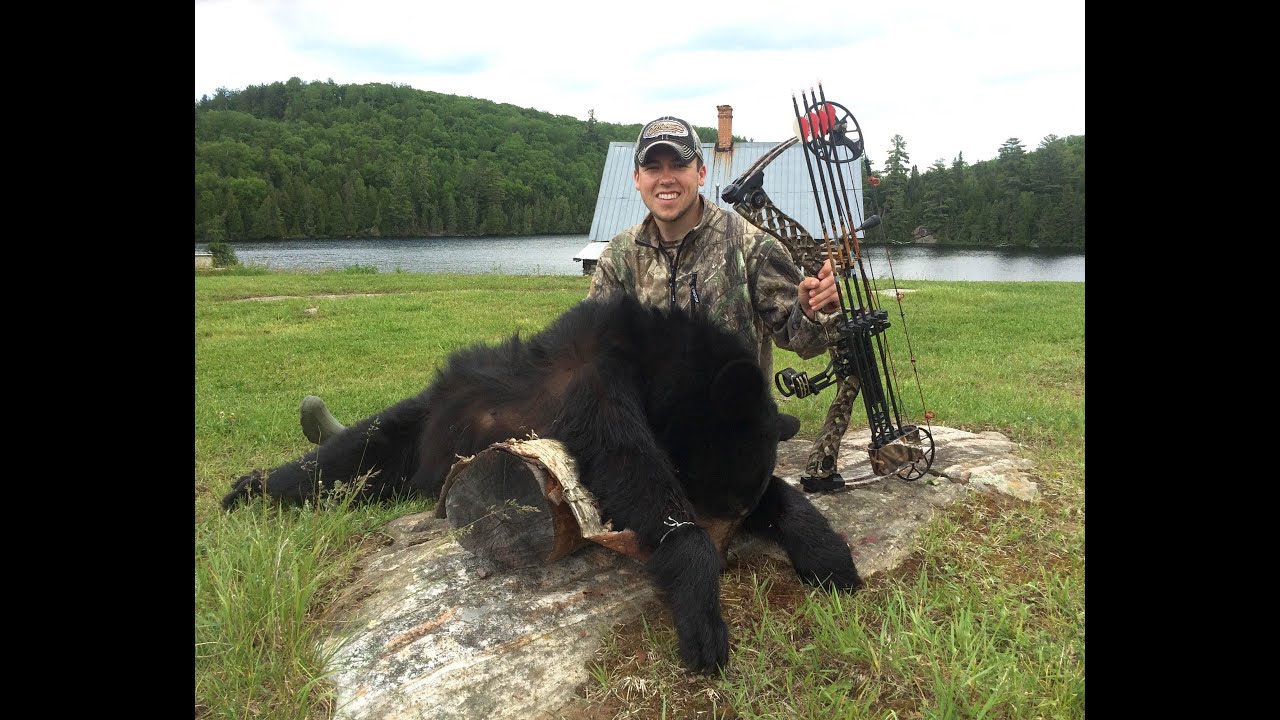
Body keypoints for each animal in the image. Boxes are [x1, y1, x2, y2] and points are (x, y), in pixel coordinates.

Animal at [221, 293, 861, 673]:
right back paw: (248, 490)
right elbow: (633, 473)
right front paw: (702, 617)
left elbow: (782, 496)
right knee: (341, 458)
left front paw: (829, 556)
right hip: (407, 428)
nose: (730, 550)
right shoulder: (595, 381)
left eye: (738, 507)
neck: (657, 364)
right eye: (717, 503)